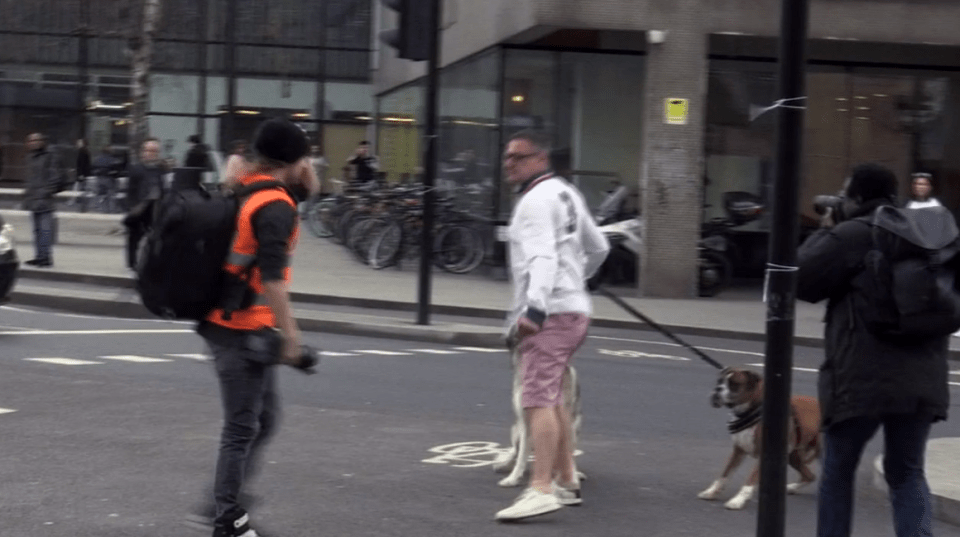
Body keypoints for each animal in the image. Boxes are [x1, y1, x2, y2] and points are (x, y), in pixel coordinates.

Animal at [492, 338, 580, 488]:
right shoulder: (527, 424)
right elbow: (521, 457)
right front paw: (512, 478)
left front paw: (571, 478)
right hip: (516, 431)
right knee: (516, 452)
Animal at [692, 366, 820, 508]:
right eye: (719, 381)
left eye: (734, 384)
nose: (717, 389)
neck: (750, 409)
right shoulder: (738, 451)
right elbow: (724, 475)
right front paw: (712, 492)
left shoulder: (763, 455)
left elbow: (749, 481)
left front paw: (738, 500)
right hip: (793, 456)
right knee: (810, 476)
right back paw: (792, 488)